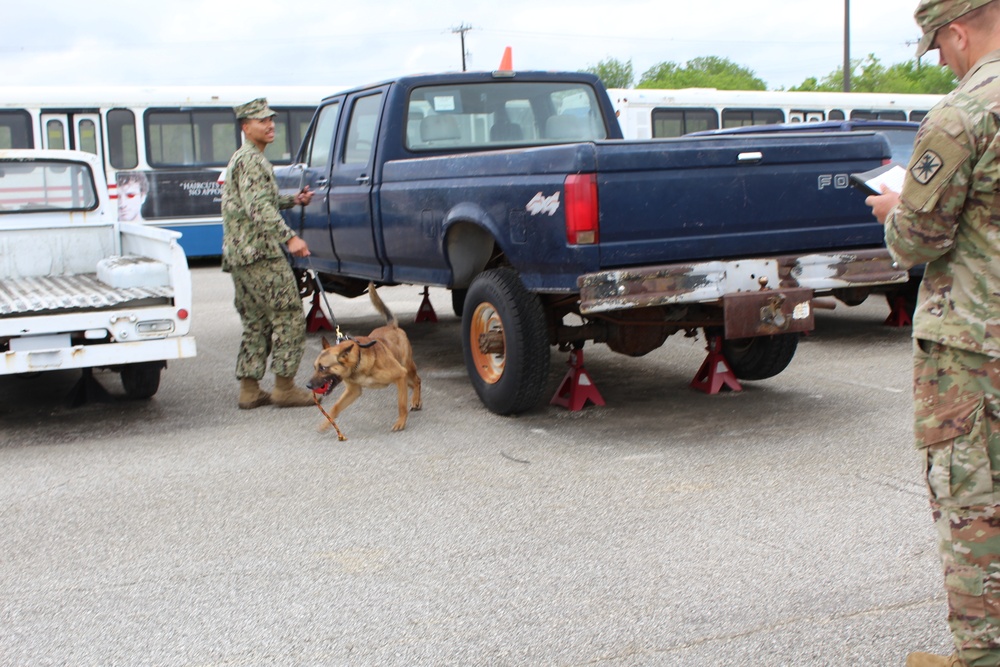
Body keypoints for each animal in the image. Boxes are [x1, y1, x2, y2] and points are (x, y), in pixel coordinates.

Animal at [310, 284, 424, 434]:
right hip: (403, 377)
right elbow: (335, 407)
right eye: (315, 367)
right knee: (412, 384)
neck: (358, 362)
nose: (308, 385)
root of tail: (391, 326)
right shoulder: (353, 391)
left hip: (407, 368)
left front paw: (401, 422)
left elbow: (401, 404)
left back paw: (416, 400)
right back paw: (417, 400)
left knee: (417, 381)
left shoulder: (400, 375)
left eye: (323, 368)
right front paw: (326, 423)